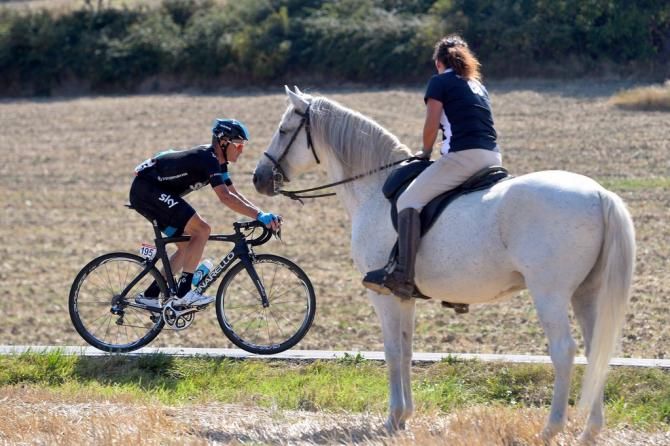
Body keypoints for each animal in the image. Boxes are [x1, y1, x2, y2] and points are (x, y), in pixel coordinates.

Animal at [252, 86, 635, 443]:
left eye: (285, 130)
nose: (259, 177)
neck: (374, 188)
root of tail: (599, 194)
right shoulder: (404, 296)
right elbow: (407, 350)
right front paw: (405, 417)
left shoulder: (383, 297)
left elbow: (392, 352)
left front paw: (392, 418)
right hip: (586, 293)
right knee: (596, 350)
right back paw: (590, 431)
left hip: (549, 294)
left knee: (564, 351)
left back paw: (550, 429)